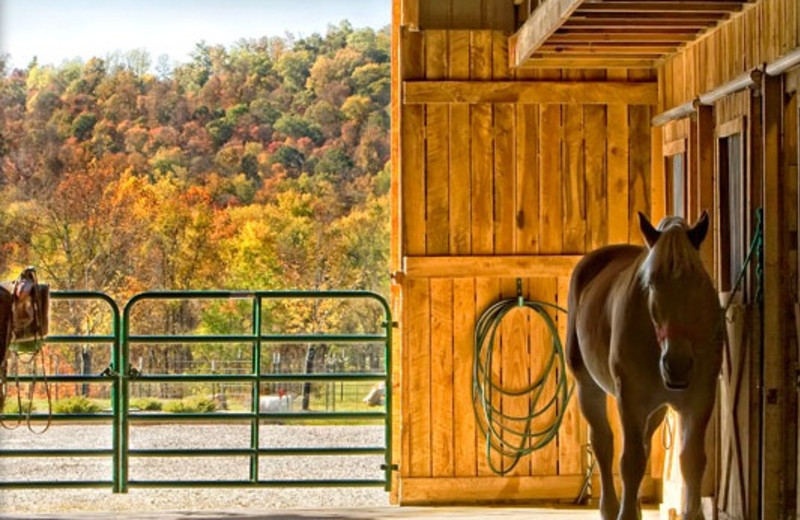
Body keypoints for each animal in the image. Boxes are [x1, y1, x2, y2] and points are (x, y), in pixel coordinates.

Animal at [564, 212, 724, 520]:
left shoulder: (699, 399)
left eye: (698, 281)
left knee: (645, 443)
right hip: (588, 387)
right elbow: (631, 461)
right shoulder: (630, 399)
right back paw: (610, 508)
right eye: (651, 284)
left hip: (657, 408)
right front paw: (625, 513)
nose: (677, 365)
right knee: (603, 444)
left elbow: (691, 461)